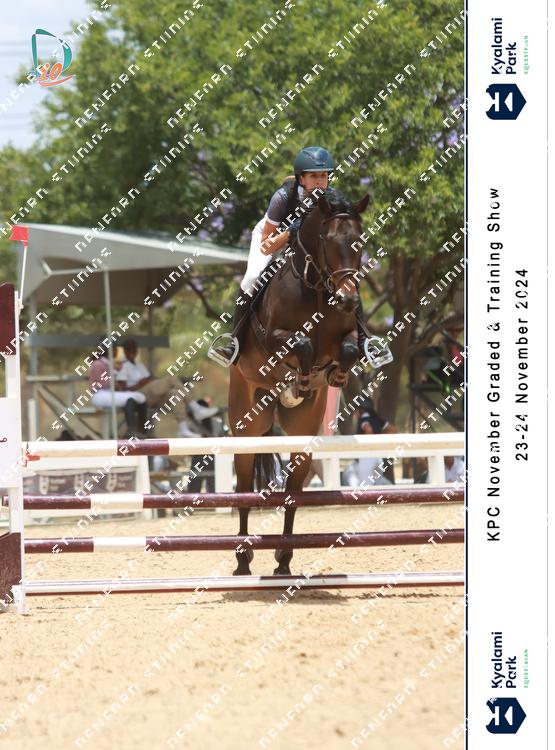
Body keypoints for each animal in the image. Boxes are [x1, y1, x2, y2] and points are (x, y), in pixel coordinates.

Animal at [228, 188, 370, 575]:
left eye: (360, 242)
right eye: (328, 241)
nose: (348, 299)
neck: (318, 287)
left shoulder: (349, 337)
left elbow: (347, 350)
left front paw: (331, 375)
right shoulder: (274, 337)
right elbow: (302, 343)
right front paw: (300, 378)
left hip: (302, 433)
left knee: (293, 491)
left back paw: (283, 560)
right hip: (246, 423)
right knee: (243, 488)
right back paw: (243, 560)